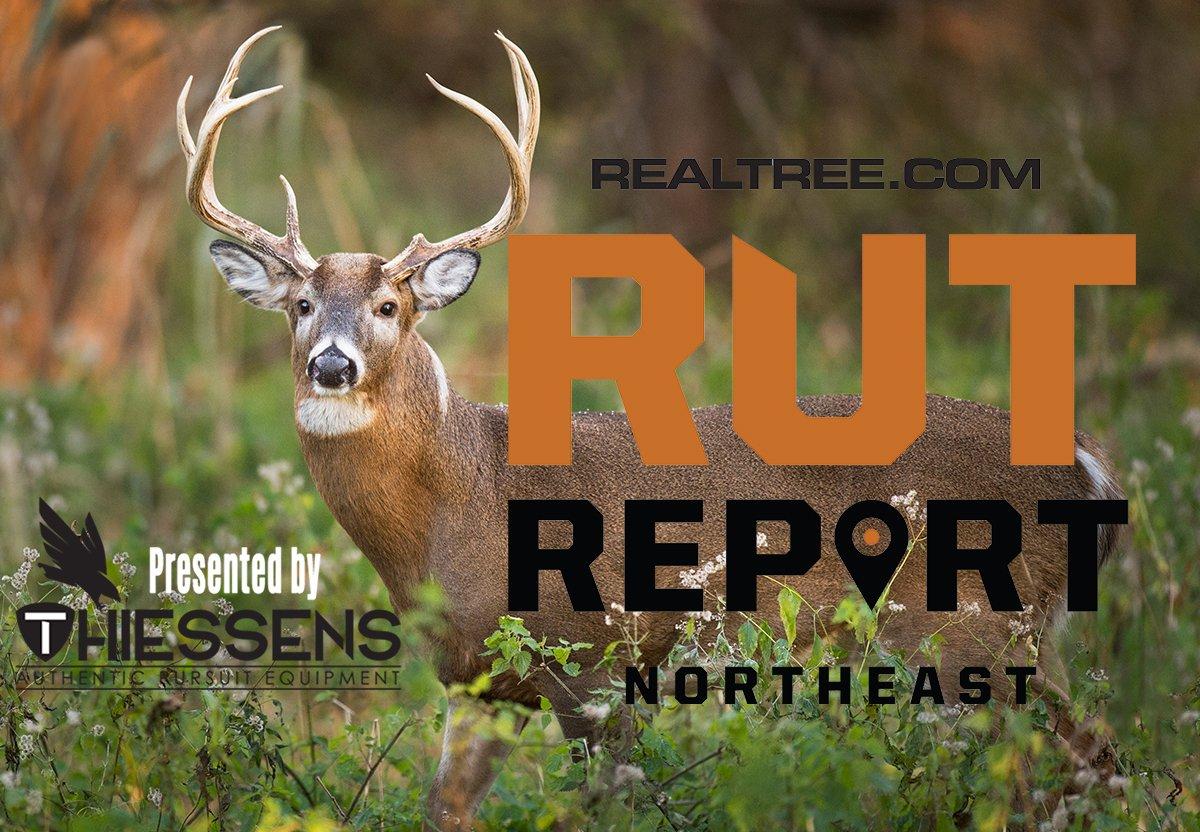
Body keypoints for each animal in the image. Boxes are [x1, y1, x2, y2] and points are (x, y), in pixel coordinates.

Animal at [177, 27, 1127, 829]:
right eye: (301, 305)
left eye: (389, 306)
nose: (331, 366)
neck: (462, 500)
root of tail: (1091, 469)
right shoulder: (478, 682)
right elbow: (444, 808)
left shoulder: (598, 658)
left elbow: (617, 803)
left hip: (977, 628)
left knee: (1079, 760)